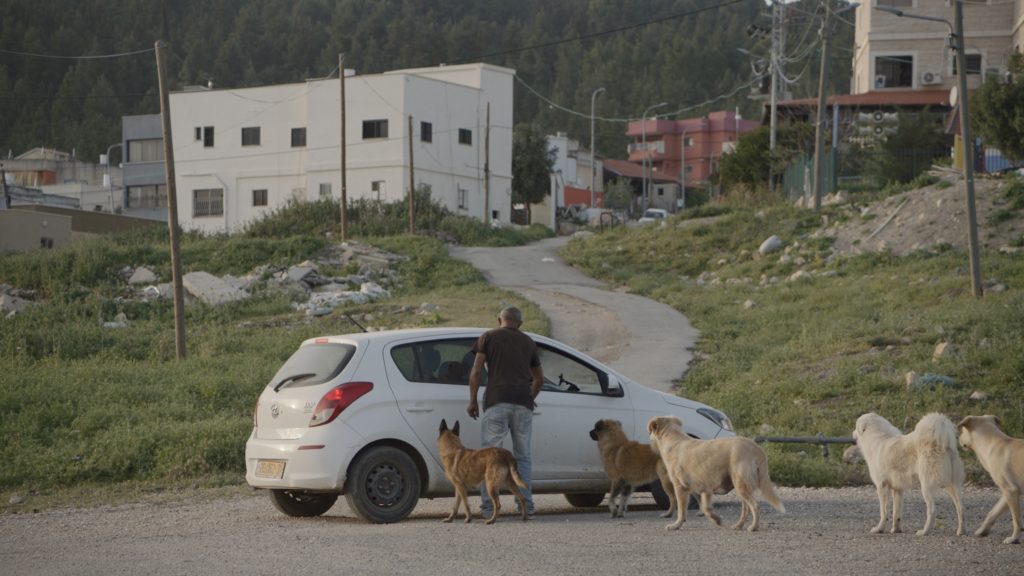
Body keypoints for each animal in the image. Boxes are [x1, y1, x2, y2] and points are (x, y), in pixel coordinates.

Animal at [647, 412, 782, 528]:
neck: (673, 440)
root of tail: (756, 447)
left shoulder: (680, 487)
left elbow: (681, 510)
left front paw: (676, 525)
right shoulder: (703, 488)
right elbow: (705, 508)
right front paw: (716, 519)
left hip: (741, 484)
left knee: (755, 506)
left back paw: (754, 527)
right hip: (741, 486)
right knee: (746, 508)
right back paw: (738, 525)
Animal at [851, 409, 962, 537]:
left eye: (855, 426)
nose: (852, 433)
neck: (877, 437)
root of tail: (943, 444)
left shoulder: (881, 487)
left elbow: (884, 512)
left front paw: (879, 529)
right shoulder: (897, 489)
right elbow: (896, 513)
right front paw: (896, 530)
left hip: (926, 487)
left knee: (932, 510)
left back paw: (924, 531)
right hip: (951, 485)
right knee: (960, 508)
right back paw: (961, 531)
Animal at [954, 412, 1019, 541]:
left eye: (962, 430)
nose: (957, 438)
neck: (993, 442)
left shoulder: (1010, 491)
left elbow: (1016, 520)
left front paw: (1014, 538)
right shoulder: (1008, 493)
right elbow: (993, 512)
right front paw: (982, 530)